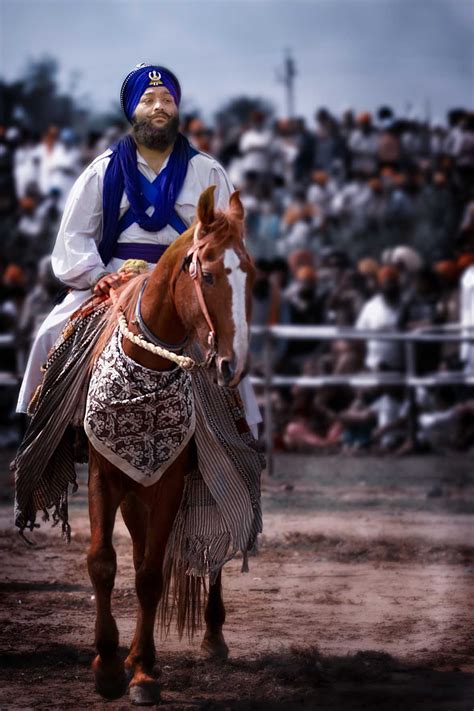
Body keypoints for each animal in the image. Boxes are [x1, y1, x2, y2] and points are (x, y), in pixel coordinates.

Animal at [85, 186, 256, 704]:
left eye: (252, 275)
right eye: (209, 273)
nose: (232, 364)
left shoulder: (170, 483)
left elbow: (149, 576)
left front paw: (143, 673)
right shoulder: (105, 475)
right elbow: (104, 563)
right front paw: (108, 666)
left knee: (209, 556)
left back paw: (212, 639)